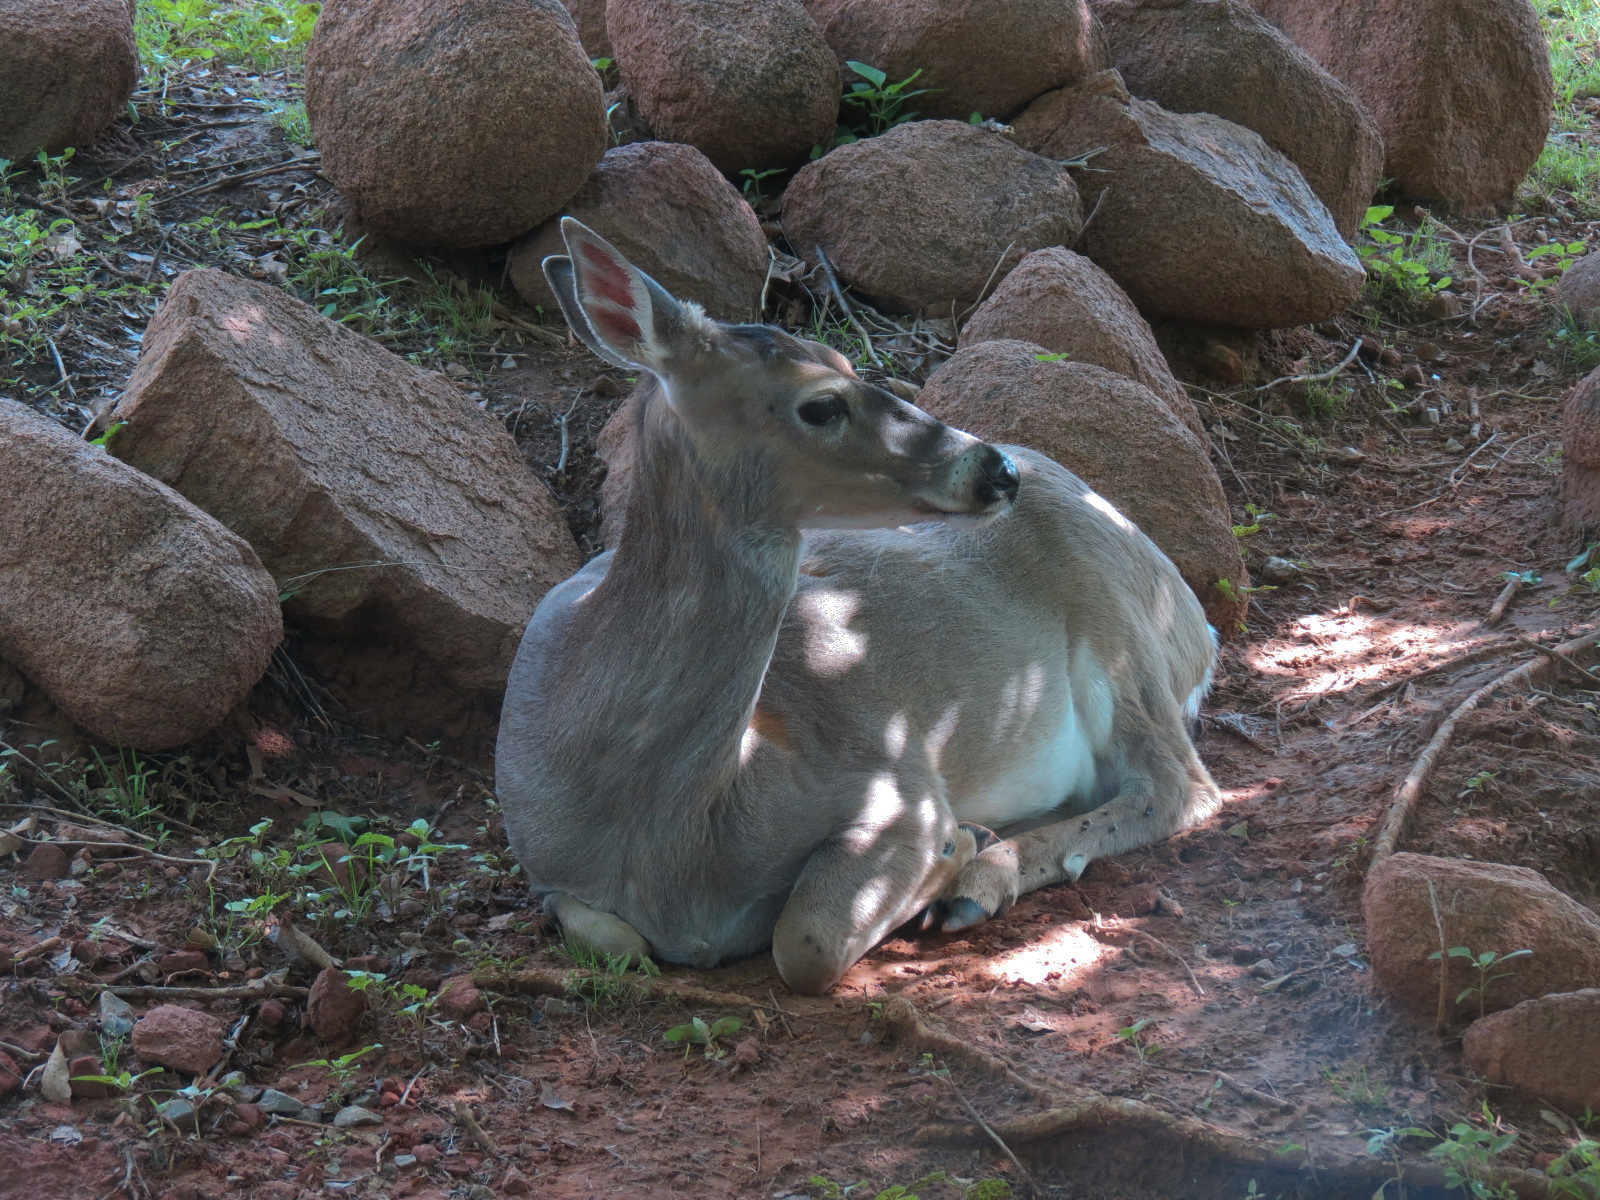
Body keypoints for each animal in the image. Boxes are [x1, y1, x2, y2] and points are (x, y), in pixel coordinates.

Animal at [495, 218, 1222, 994]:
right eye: (821, 403)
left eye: (849, 357)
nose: (998, 469)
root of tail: (1194, 618)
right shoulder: (546, 870)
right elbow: (615, 942)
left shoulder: (893, 784)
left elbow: (805, 940)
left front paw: (959, 846)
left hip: (1119, 633)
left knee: (1180, 784)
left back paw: (980, 877)